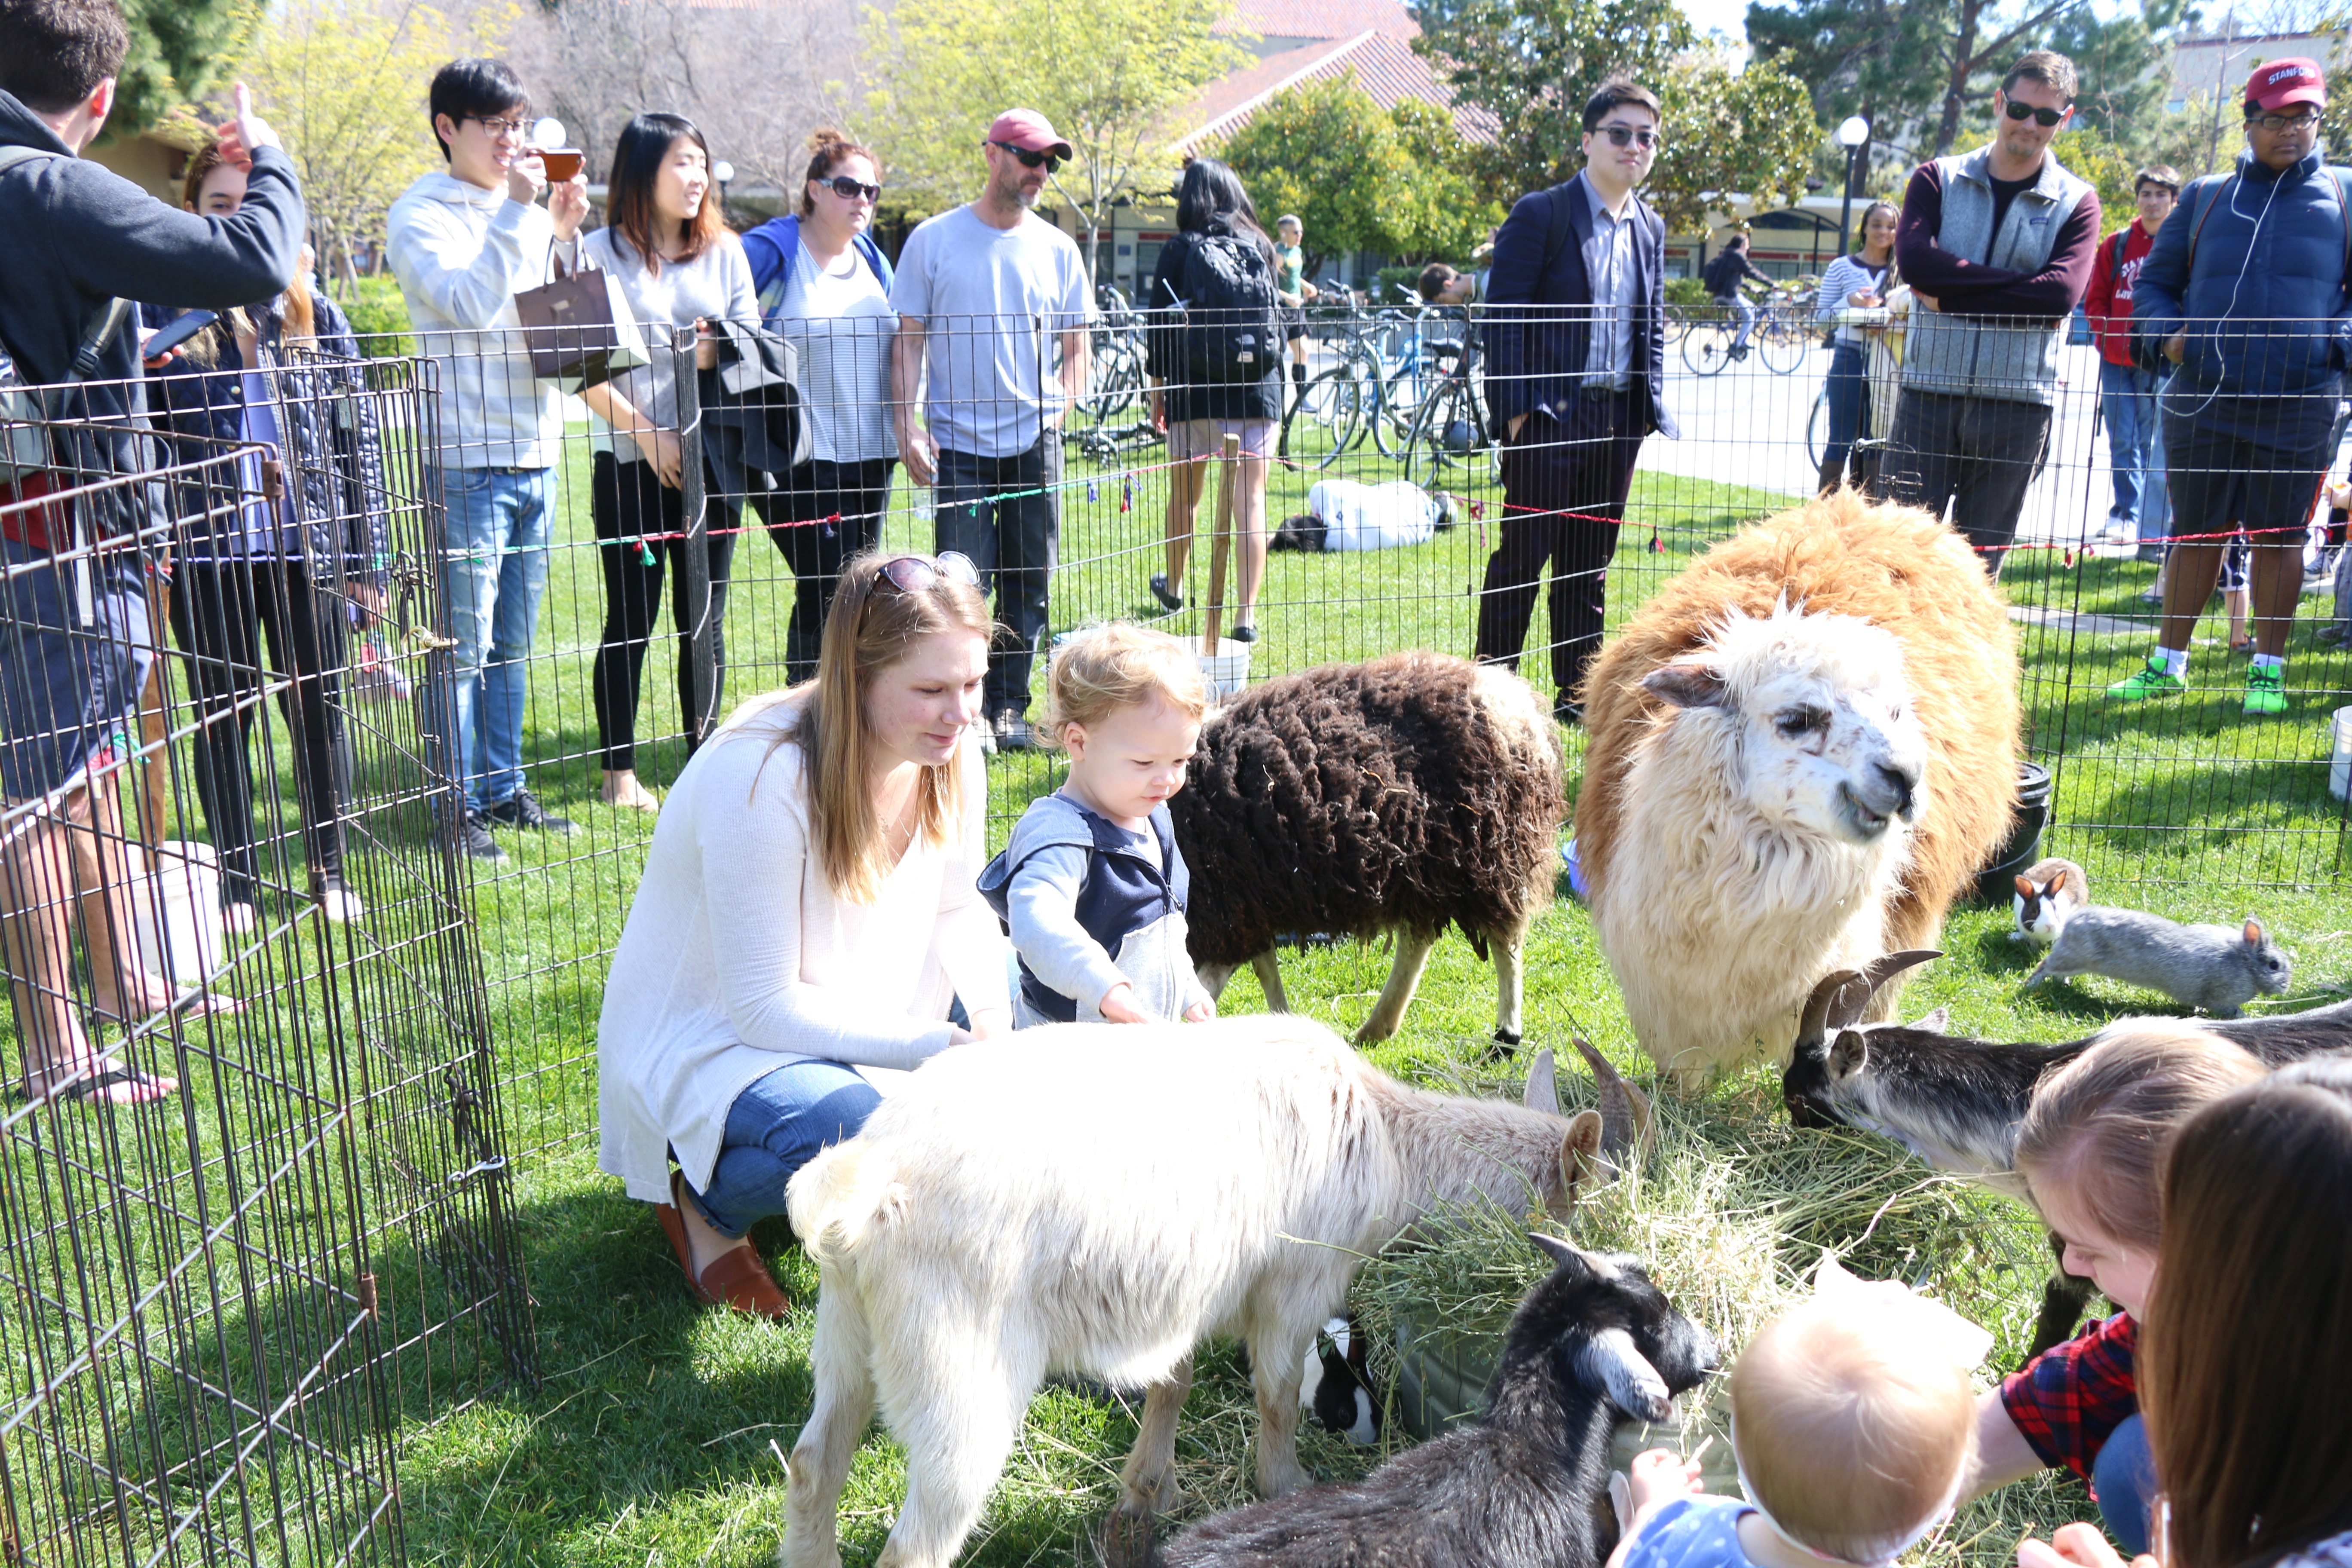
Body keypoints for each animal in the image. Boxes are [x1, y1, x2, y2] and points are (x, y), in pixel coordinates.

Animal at [781, 1020, 1646, 1568]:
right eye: (1602, 1204)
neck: (1385, 1137)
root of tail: (873, 1176)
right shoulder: (1294, 1289)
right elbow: (1276, 1396)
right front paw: (1287, 1489)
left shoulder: (1194, 1289)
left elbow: (1175, 1377)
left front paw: (1145, 1493)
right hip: (956, 1366)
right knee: (918, 1540)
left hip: (849, 1333)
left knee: (813, 1465)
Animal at [2032, 907, 2286, 1020]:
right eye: (2274, 965)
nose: (2285, 986)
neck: (2246, 963)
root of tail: (2073, 920)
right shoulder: (2221, 998)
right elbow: (2229, 1008)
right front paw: (2246, 1018)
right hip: (2072, 958)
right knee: (2044, 965)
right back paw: (2030, 986)